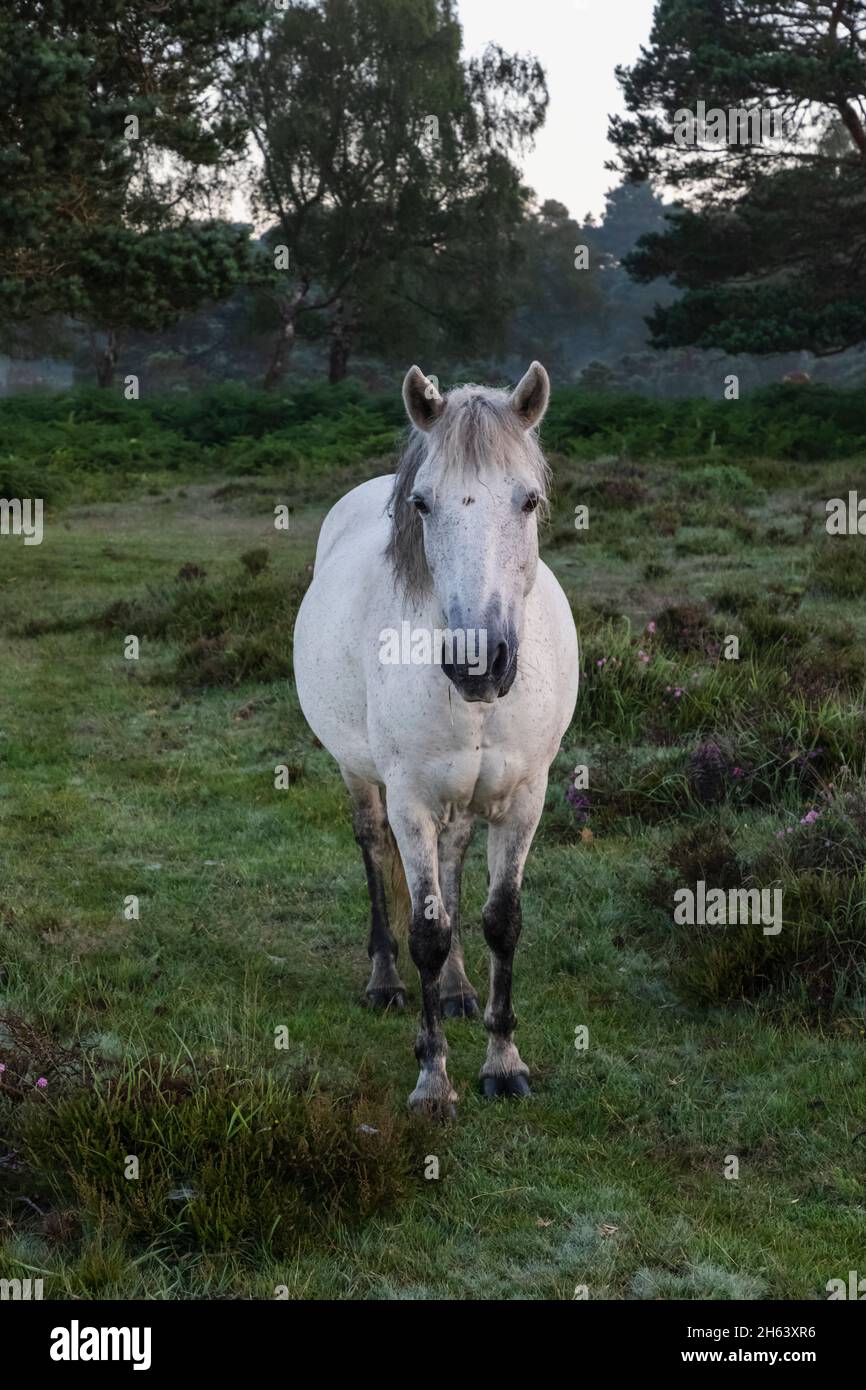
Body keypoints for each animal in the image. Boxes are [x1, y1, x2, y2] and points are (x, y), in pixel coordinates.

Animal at [293, 363, 579, 1117]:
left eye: (529, 501)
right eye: (422, 504)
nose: (479, 662)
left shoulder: (525, 798)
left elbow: (500, 920)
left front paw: (503, 1061)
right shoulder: (411, 802)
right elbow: (426, 929)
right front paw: (433, 1079)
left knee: (451, 864)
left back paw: (455, 990)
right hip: (361, 776)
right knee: (373, 853)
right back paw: (385, 983)